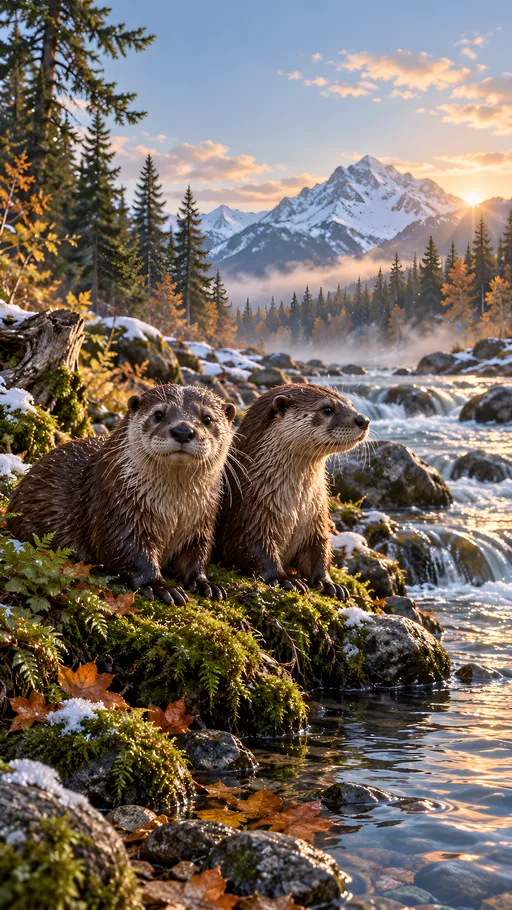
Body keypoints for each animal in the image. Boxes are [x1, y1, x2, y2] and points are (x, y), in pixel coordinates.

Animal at [8, 385, 236, 604]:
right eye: (158, 414)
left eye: (207, 419)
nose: (182, 430)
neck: (174, 512)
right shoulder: (116, 508)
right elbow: (125, 550)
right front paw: (160, 586)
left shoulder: (202, 521)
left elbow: (198, 553)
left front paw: (205, 583)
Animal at [216, 383, 370, 600]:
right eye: (327, 409)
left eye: (351, 404)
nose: (363, 420)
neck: (295, 506)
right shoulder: (248, 516)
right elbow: (250, 550)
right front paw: (285, 580)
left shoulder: (316, 519)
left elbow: (318, 551)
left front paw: (329, 583)